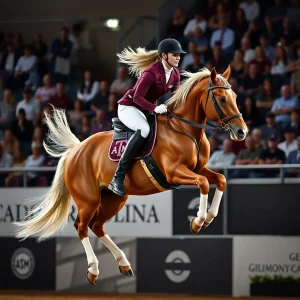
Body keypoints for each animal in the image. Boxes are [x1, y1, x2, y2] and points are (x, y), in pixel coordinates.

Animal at [15, 65, 247, 284]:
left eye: (235, 97)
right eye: (222, 99)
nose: (242, 132)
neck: (185, 129)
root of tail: (75, 151)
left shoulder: (198, 169)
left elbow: (220, 180)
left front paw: (209, 217)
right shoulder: (174, 173)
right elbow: (204, 183)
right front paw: (198, 221)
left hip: (114, 198)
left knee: (97, 226)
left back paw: (124, 263)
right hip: (88, 200)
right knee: (81, 227)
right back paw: (93, 270)